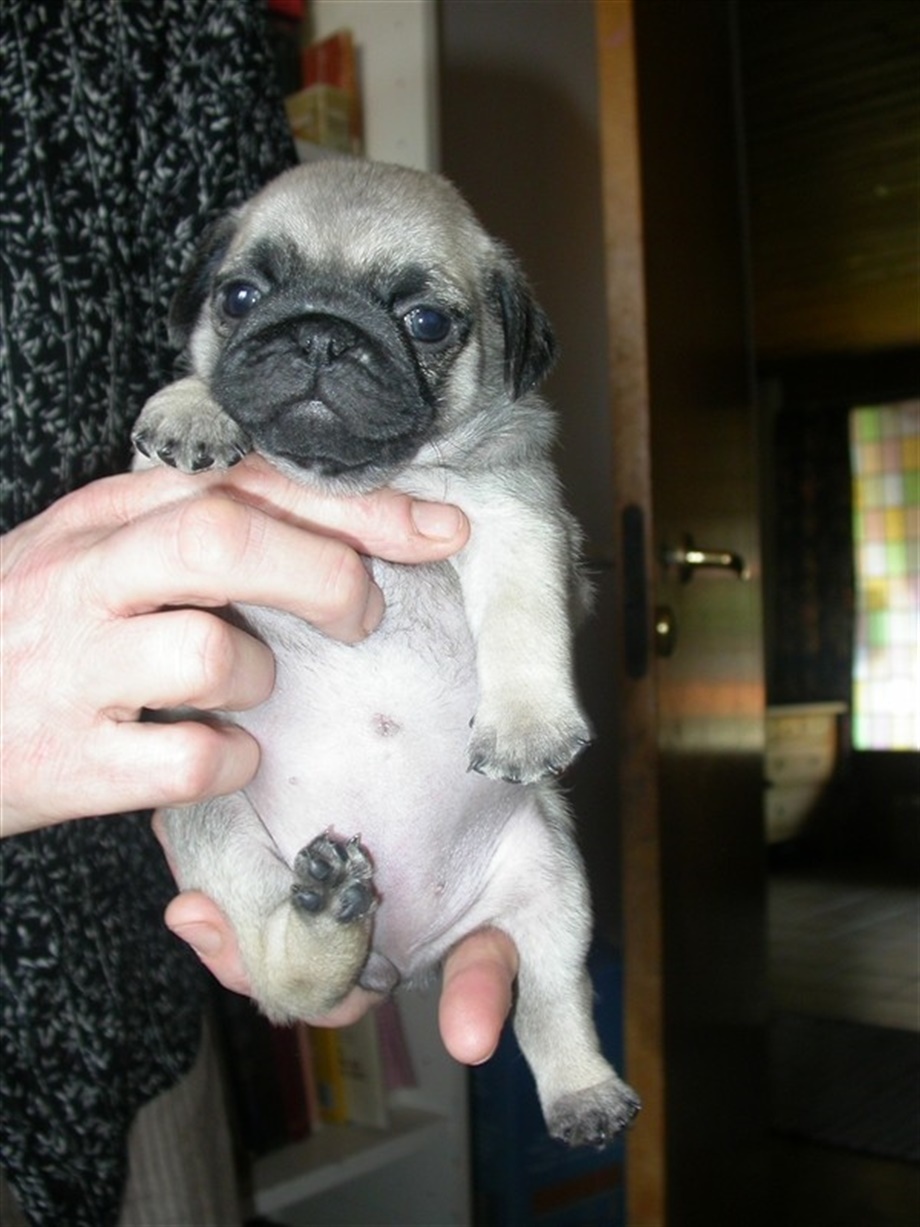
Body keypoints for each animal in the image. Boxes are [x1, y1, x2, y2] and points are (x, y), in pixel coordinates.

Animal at [132, 160, 640, 1147]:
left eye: (427, 322)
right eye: (241, 297)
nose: (320, 335)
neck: (364, 481)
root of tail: (404, 960)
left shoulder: (517, 518)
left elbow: (523, 617)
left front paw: (527, 725)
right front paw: (194, 404)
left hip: (553, 878)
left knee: (553, 999)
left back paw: (583, 1091)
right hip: (214, 822)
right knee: (285, 980)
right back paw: (326, 920)